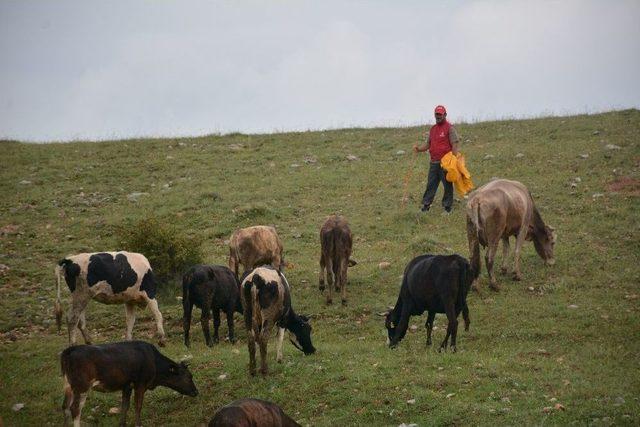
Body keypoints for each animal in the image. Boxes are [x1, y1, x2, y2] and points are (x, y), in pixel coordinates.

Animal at [62, 342, 199, 427]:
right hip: (82, 387)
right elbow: (137, 406)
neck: (154, 361)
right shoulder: (140, 384)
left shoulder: (127, 386)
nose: (196, 392)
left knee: (65, 407)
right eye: (189, 376)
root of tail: (72, 349)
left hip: (68, 386)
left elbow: (125, 406)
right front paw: (139, 424)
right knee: (75, 409)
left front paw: (122, 424)